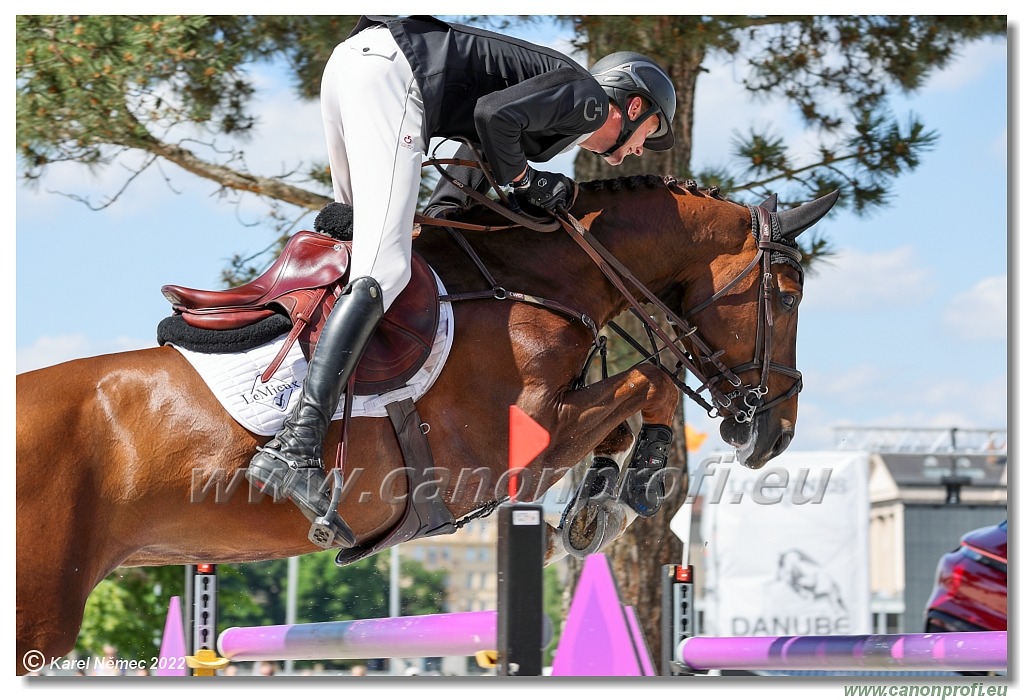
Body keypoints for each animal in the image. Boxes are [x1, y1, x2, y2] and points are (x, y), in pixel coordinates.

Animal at [14, 175, 839, 671]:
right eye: (790, 290)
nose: (773, 434)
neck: (537, 282)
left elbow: (631, 402)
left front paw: (596, 506)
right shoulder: (512, 450)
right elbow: (653, 380)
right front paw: (631, 482)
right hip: (41, 613)